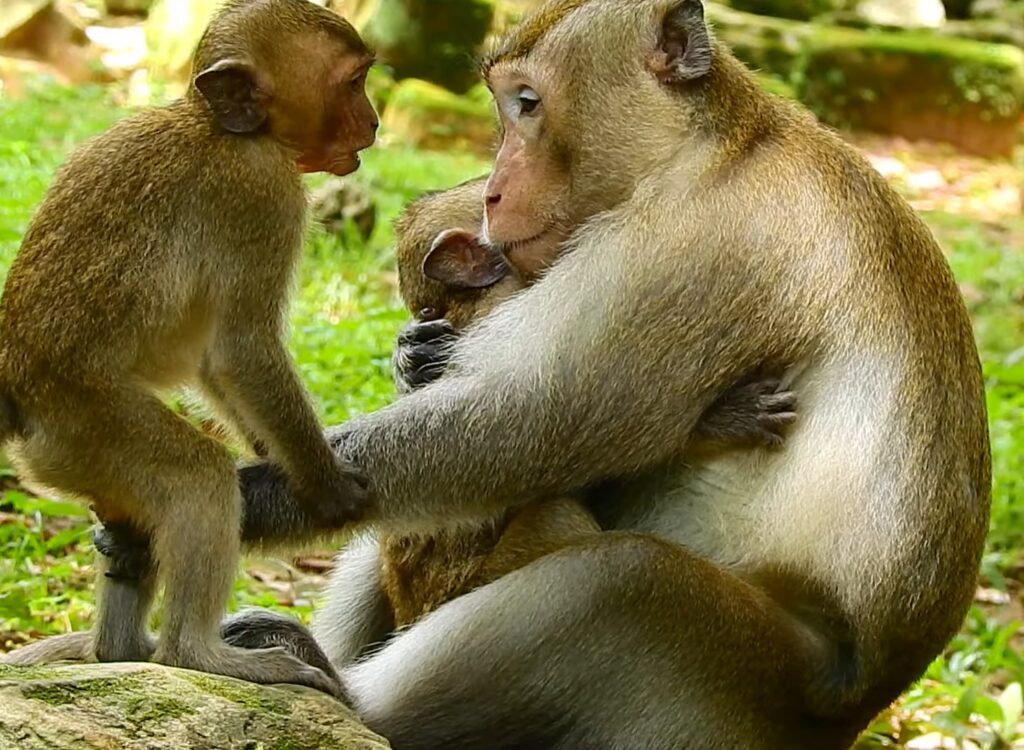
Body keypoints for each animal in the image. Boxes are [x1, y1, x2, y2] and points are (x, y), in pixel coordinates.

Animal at [0, 0, 376, 697]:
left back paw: (121, 646)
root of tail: (21, 395)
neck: (217, 126)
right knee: (196, 475)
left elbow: (214, 363)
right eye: (353, 83)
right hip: (86, 429)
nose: (373, 121)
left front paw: (272, 449)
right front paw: (325, 482)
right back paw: (197, 655)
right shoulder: (263, 192)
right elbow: (241, 350)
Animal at [222, 0, 990, 747]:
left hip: (750, 691)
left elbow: (527, 423)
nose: (495, 188)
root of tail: (847, 714)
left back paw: (345, 691)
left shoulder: (697, 238)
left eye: (526, 103)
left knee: (620, 580)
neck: (717, 148)